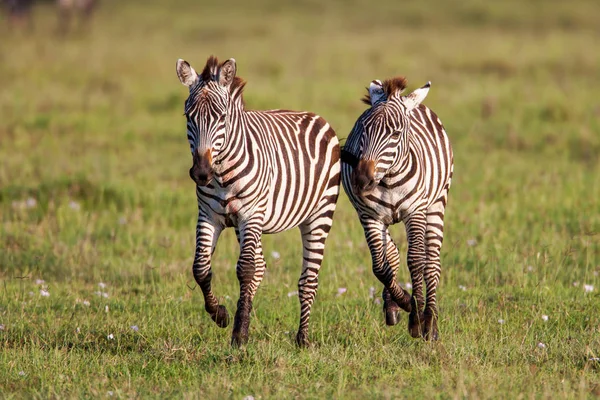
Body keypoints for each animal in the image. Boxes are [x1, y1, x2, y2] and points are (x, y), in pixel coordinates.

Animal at [176, 55, 340, 346]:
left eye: (221, 117)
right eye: (188, 116)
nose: (201, 173)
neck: (222, 173)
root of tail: (314, 115)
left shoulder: (250, 214)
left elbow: (246, 269)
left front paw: (239, 334)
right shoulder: (208, 215)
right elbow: (201, 268)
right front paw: (221, 315)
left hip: (319, 214)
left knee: (307, 280)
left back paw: (302, 338)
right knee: (261, 267)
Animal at [340, 77, 452, 340]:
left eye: (396, 133)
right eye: (363, 128)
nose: (362, 180)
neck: (389, 180)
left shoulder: (415, 212)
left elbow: (416, 261)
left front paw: (417, 319)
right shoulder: (369, 216)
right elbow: (381, 266)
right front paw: (405, 302)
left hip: (436, 203)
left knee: (432, 263)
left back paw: (430, 322)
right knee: (390, 254)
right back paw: (393, 306)